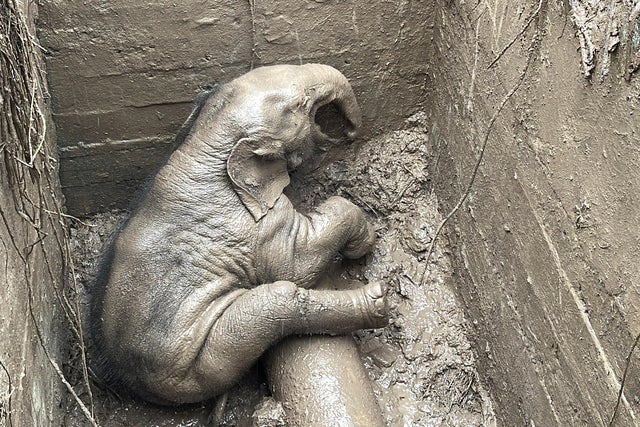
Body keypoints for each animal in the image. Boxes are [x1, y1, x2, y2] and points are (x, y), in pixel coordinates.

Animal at [90, 63, 389, 405]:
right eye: (301, 101)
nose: (351, 133)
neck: (205, 142)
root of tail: (125, 381)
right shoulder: (255, 225)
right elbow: (297, 264)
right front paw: (364, 243)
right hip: (199, 361)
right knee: (278, 300)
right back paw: (377, 300)